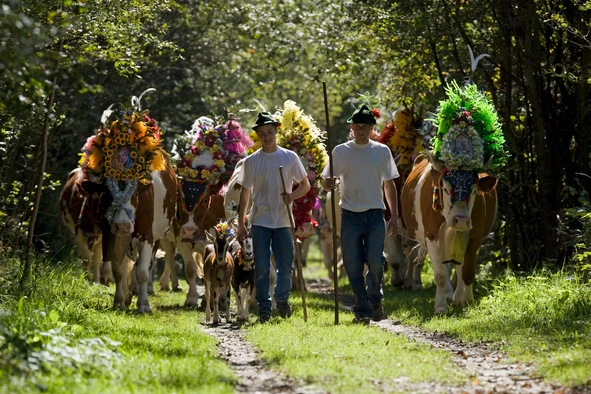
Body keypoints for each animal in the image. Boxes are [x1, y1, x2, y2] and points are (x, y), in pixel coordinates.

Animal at [404, 157, 498, 314]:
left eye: (474, 191)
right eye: (446, 190)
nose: (461, 220)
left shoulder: (474, 238)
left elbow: (467, 273)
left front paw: (467, 301)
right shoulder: (431, 237)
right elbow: (440, 275)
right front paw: (440, 306)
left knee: (459, 271)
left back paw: (457, 298)